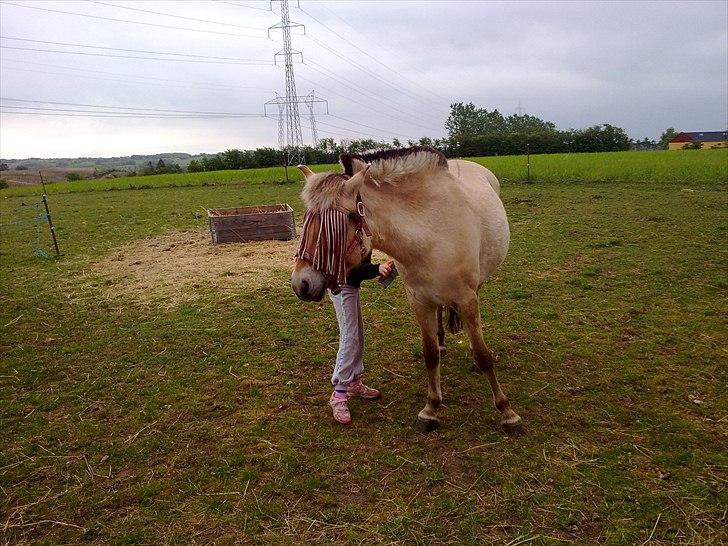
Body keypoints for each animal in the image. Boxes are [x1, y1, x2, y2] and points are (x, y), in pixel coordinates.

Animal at [292, 147, 524, 432]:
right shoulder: (419, 302)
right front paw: (431, 409)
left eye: (337, 224)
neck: (431, 230)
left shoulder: (467, 299)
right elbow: (430, 354)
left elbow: (483, 356)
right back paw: (443, 343)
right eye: (306, 220)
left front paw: (507, 412)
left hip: (476, 287)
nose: (301, 284)